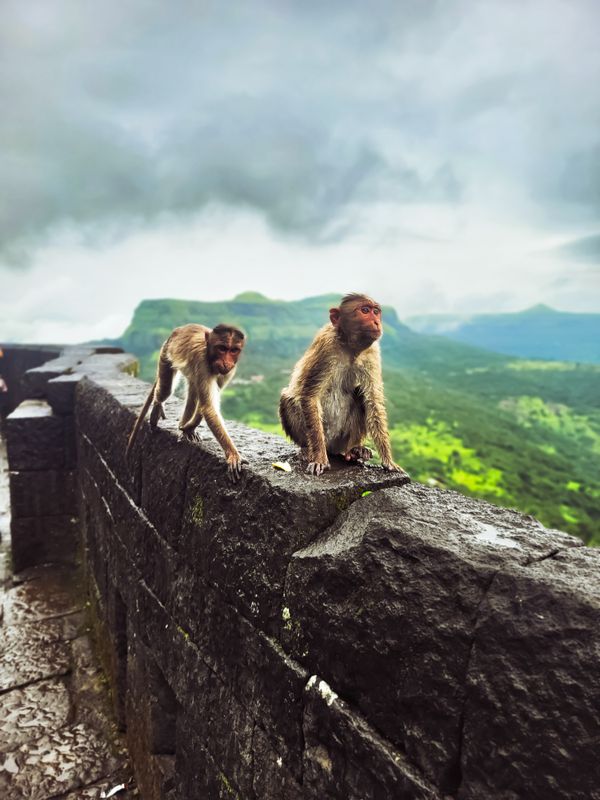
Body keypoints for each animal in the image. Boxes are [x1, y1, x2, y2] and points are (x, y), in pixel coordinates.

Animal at [126, 324, 246, 482]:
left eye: (233, 350)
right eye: (222, 348)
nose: (227, 362)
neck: (209, 353)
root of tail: (177, 331)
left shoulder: (229, 371)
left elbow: (206, 404)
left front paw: (188, 428)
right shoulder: (201, 361)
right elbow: (208, 407)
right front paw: (232, 454)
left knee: (194, 391)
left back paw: (183, 426)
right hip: (165, 354)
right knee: (165, 390)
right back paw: (157, 407)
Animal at [278, 290, 410, 476]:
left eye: (376, 312)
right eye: (365, 310)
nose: (377, 322)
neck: (349, 347)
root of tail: (333, 447)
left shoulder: (371, 353)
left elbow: (373, 401)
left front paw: (388, 461)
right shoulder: (326, 346)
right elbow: (309, 396)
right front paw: (319, 458)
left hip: (341, 439)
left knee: (360, 395)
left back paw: (354, 451)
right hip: (321, 437)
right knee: (287, 398)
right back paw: (307, 449)